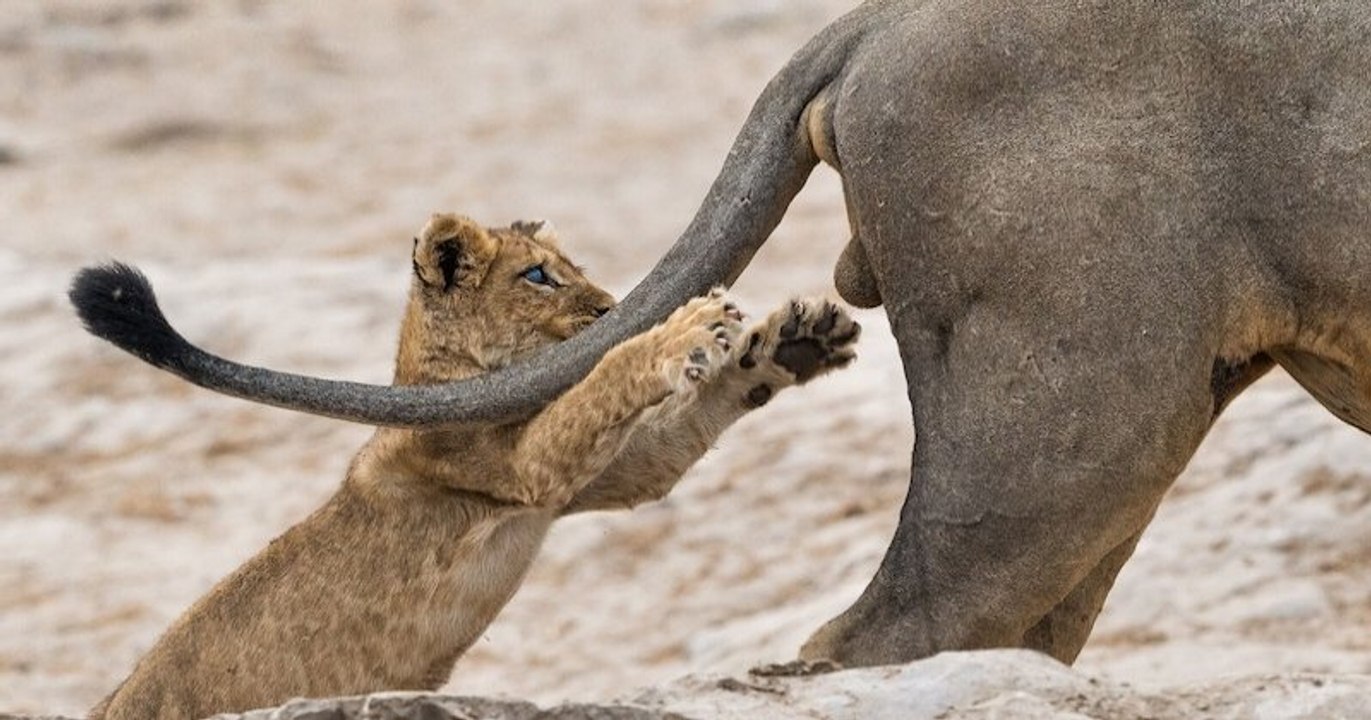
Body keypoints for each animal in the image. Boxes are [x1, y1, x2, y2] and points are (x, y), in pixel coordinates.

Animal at [73, 214, 859, 720]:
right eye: (538, 276)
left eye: (573, 270)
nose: (612, 305)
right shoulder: (521, 467)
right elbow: (604, 373)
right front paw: (683, 328)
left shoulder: (588, 482)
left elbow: (672, 434)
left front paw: (794, 339)